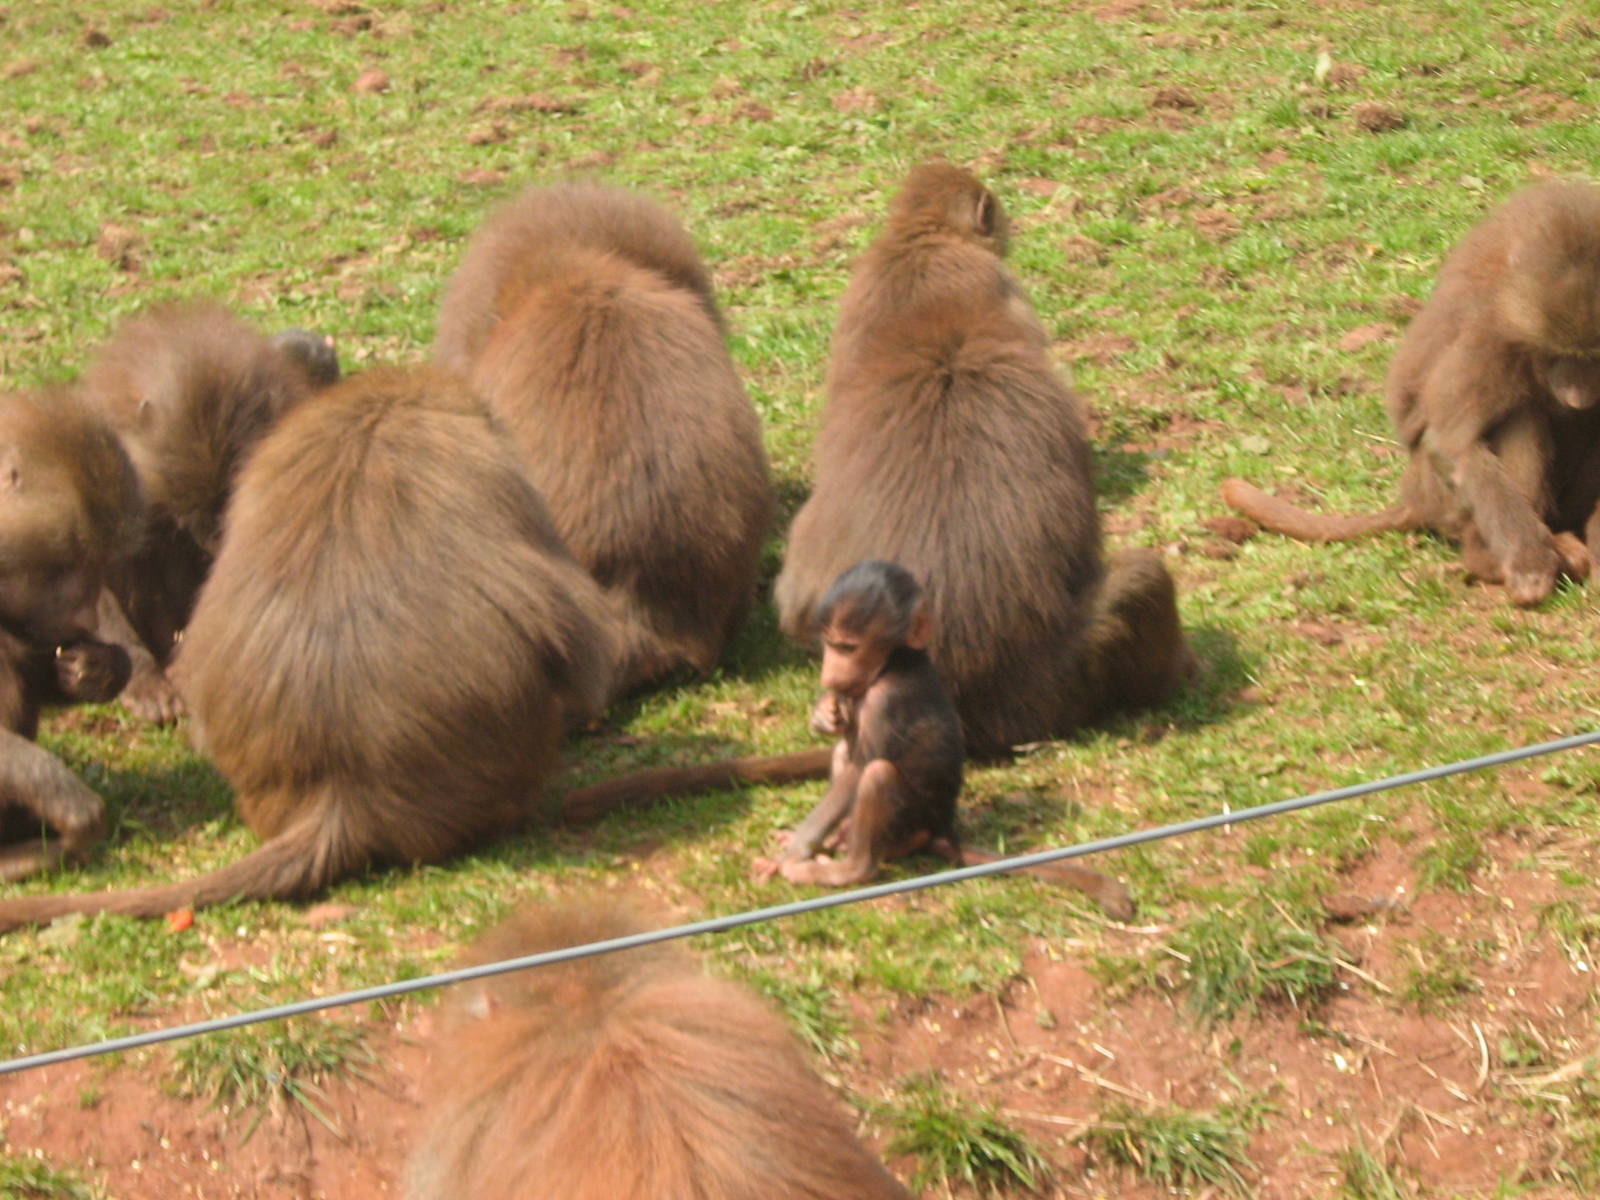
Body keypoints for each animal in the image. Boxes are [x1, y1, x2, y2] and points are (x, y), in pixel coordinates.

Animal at [753, 562, 1135, 920]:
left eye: (848, 647)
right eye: (830, 644)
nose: (830, 673)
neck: (895, 661)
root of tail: (942, 829)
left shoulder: (886, 700)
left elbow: (858, 773)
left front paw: (790, 854)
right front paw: (825, 713)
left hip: (910, 824)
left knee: (877, 773)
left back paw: (849, 869)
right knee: (844, 752)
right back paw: (837, 838)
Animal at [1221, 179, 1600, 607]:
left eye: (1595, 355)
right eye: (1557, 354)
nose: (1578, 395)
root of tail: (1414, 499)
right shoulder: (1489, 338)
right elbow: (1451, 444)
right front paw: (1530, 562)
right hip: (1441, 495)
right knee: (1520, 418)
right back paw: (1492, 560)